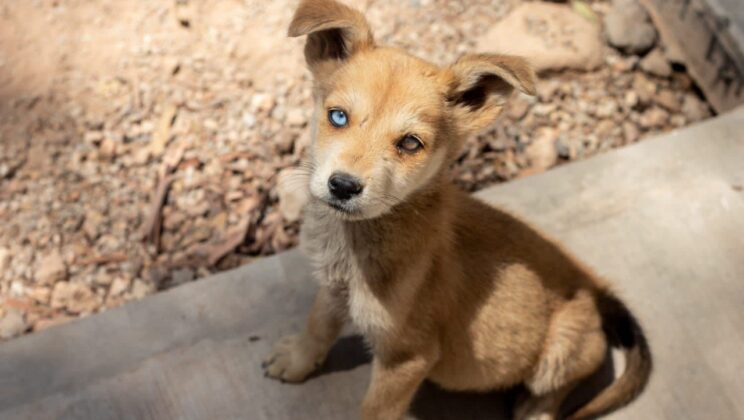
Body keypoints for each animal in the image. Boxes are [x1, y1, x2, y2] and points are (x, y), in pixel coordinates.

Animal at [264, 1, 652, 418]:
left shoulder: (407, 357)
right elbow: (318, 326)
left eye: (410, 143)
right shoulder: (332, 289)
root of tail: (593, 285)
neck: (354, 241)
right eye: (337, 116)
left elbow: (373, 409)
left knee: (554, 391)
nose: (343, 186)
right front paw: (296, 362)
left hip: (559, 351)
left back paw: (532, 408)